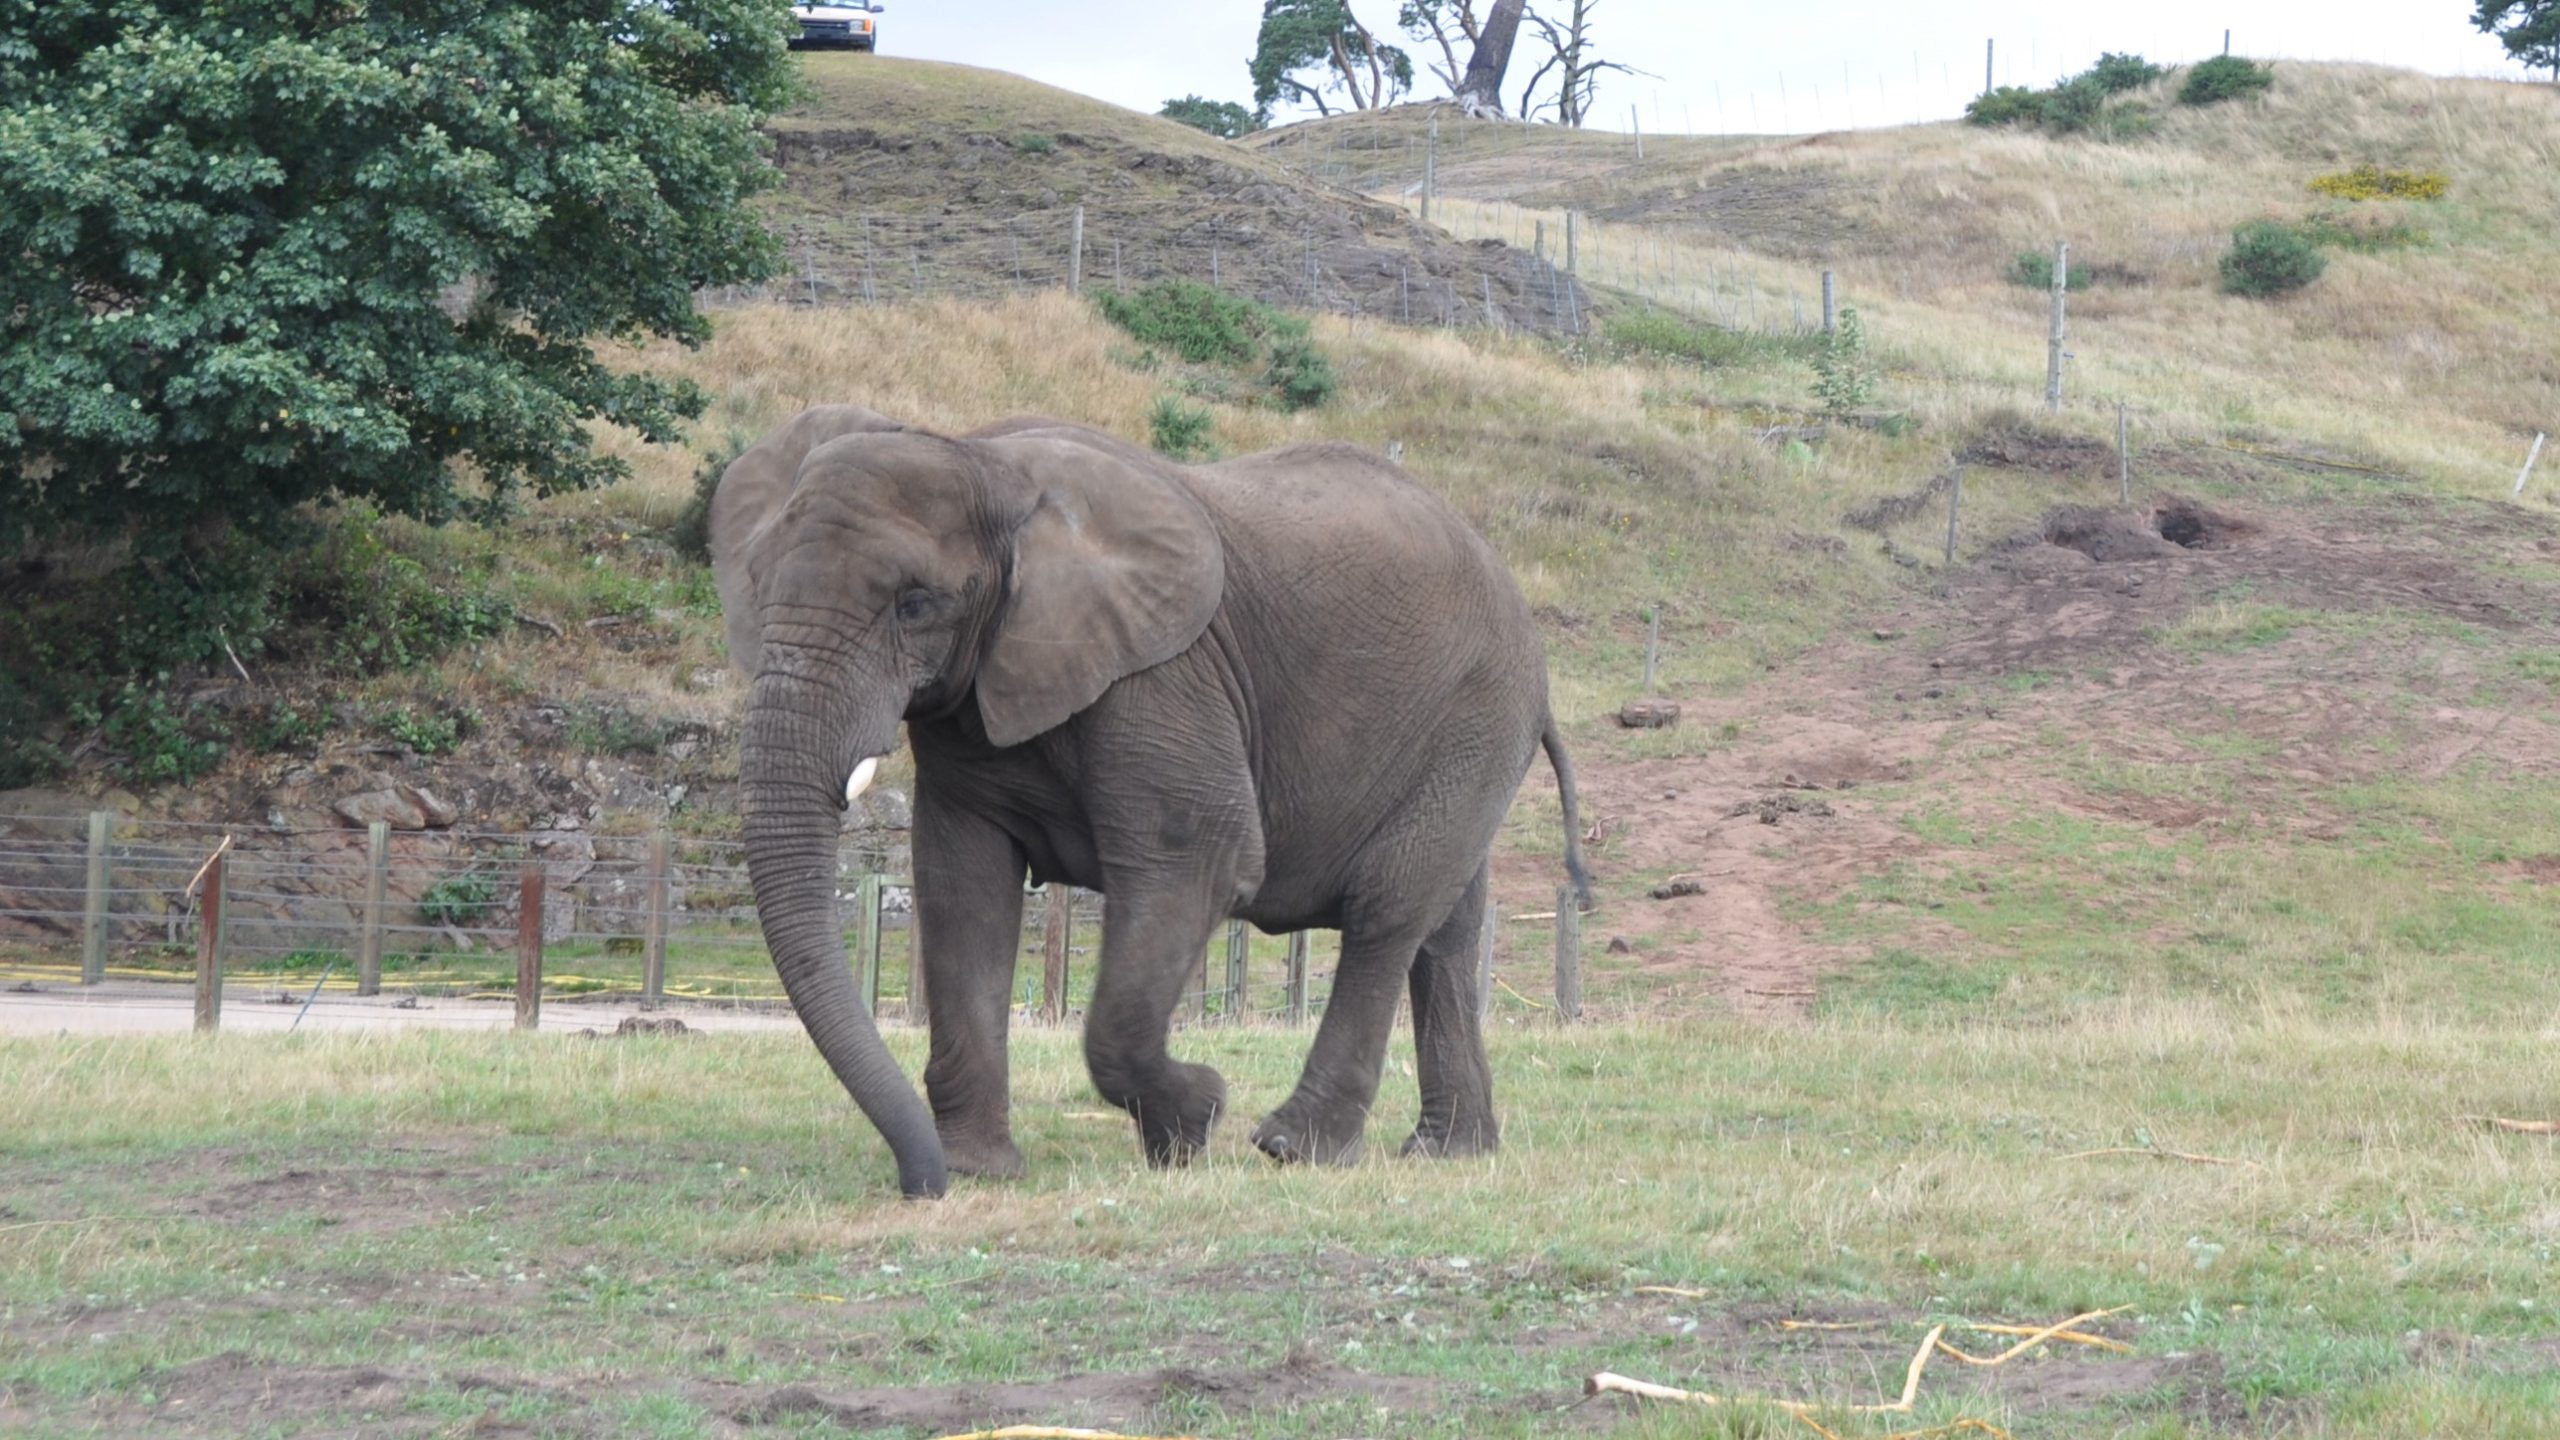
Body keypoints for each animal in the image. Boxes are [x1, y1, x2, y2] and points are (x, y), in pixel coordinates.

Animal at [711, 399, 1587, 1188]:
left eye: (916, 604)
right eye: (757, 585)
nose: (917, 1180)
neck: (980, 458)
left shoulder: (1165, 678)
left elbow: (1199, 859)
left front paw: (1193, 1121)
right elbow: (964, 884)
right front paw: (979, 1170)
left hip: (1476, 717)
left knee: (1388, 913)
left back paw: (1293, 1148)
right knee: (1447, 930)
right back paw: (1449, 1152)